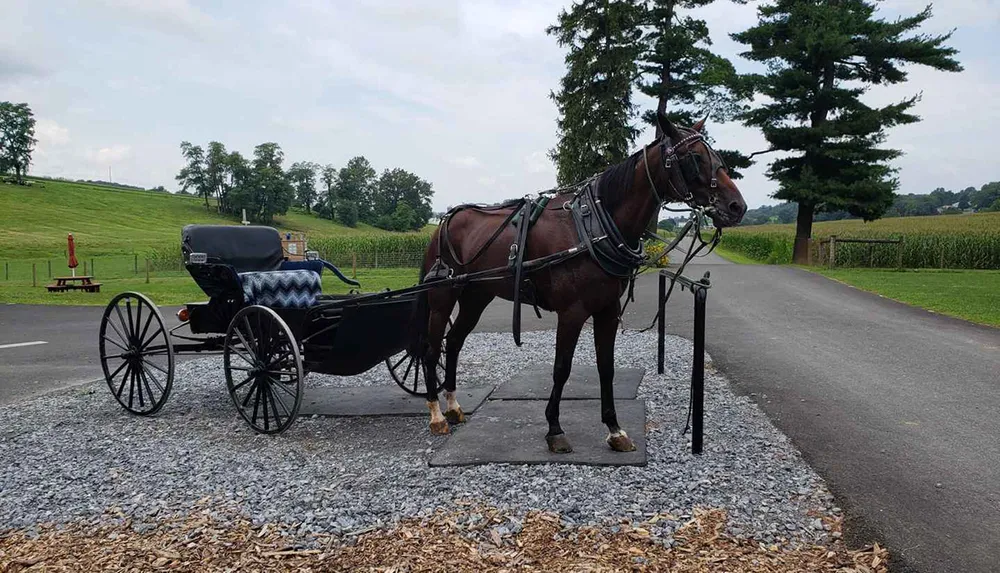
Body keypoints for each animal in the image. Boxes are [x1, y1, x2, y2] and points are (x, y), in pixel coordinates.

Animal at [414, 114, 744, 454]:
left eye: (716, 157)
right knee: (431, 350)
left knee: (454, 342)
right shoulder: (571, 312)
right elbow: (562, 368)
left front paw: (614, 429)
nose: (737, 207)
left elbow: (606, 367)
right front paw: (554, 429)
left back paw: (453, 407)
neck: (592, 227)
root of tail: (445, 221)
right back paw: (436, 415)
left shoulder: (608, 310)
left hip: (476, 296)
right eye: (694, 158)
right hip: (443, 297)